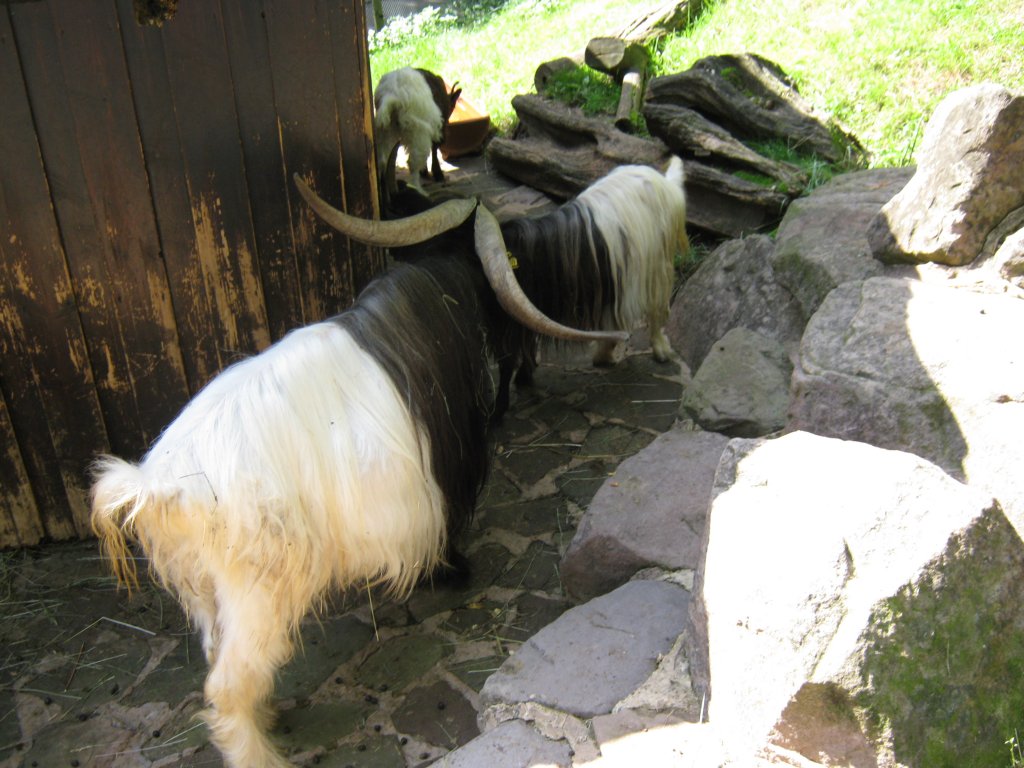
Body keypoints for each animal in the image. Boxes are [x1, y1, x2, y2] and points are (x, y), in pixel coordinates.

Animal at [92, 188, 618, 768]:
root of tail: (155, 488)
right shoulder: (443, 476)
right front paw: (453, 571)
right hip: (258, 594)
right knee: (226, 687)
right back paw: (262, 752)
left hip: (207, 591)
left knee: (217, 656)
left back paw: (267, 715)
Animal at [372, 66, 460, 196]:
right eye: (452, 108)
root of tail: (392, 95)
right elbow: (434, 148)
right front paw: (436, 173)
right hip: (418, 132)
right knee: (412, 164)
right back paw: (419, 190)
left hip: (385, 129)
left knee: (382, 160)